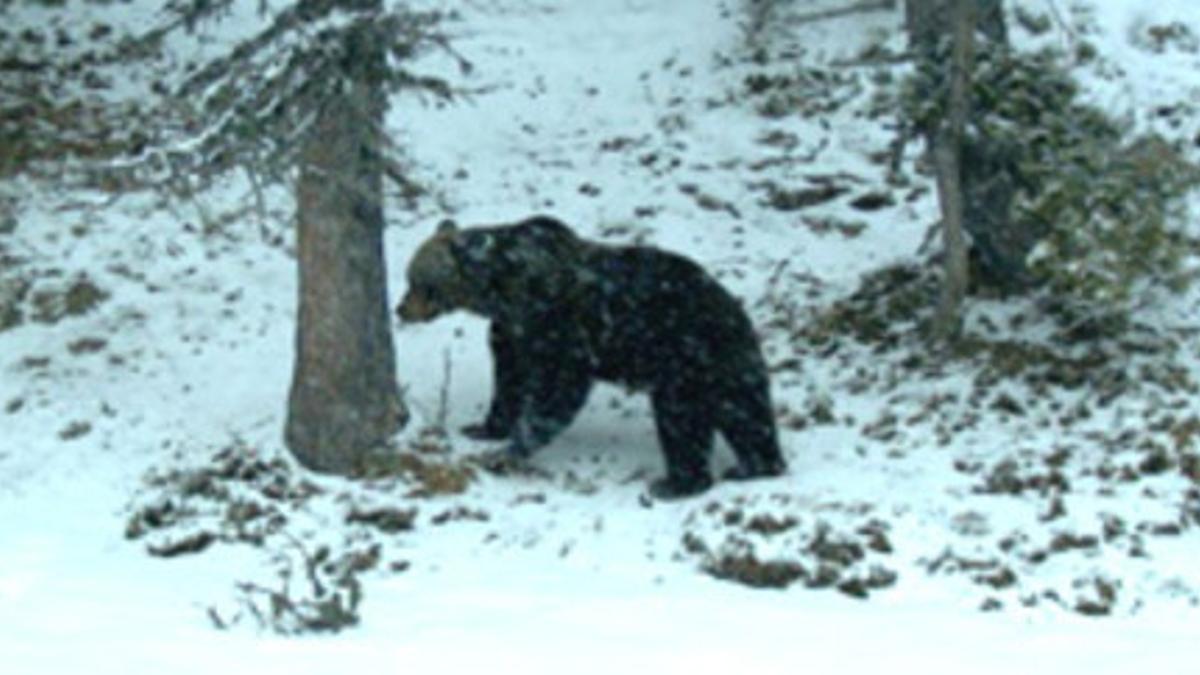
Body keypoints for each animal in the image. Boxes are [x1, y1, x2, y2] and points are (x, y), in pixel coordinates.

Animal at [396, 214, 787, 499]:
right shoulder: (513, 330)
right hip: (727, 366)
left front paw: (509, 450)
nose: (401, 308)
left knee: (681, 419)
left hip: (686, 359)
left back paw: (676, 483)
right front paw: (484, 427)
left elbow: (556, 389)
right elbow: (510, 378)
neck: (502, 290)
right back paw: (755, 466)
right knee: (747, 415)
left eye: (417, 280)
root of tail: (734, 313)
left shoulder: (557, 323)